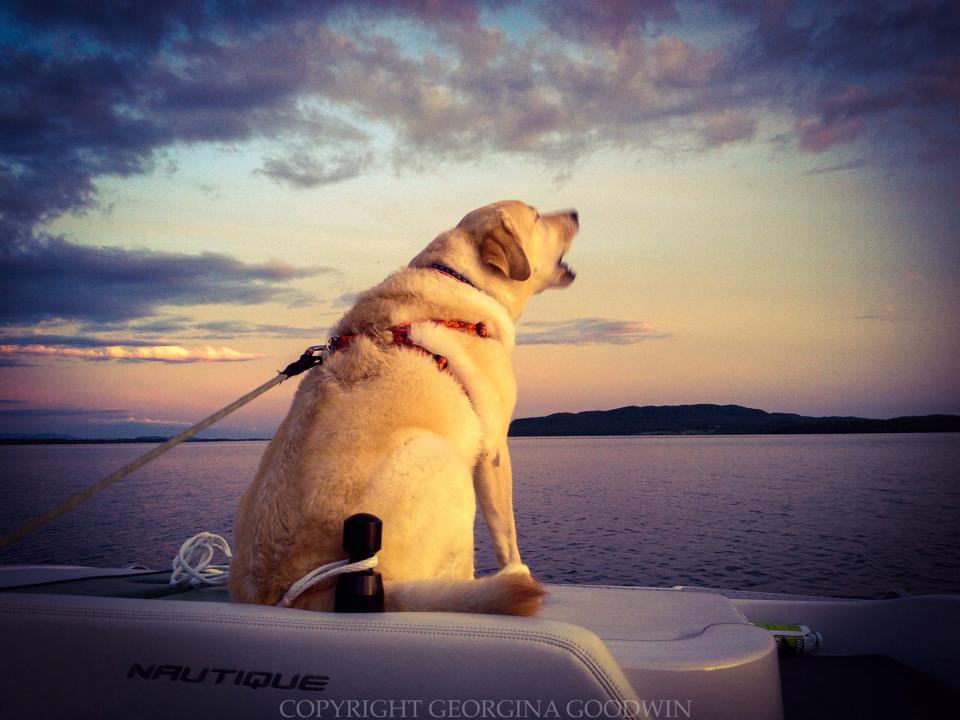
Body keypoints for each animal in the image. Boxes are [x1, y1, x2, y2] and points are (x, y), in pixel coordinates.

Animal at [232, 201, 576, 612]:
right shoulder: (493, 450)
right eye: (537, 216)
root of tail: (300, 594)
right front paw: (519, 568)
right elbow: (506, 534)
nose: (576, 214)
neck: (463, 279)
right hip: (444, 462)